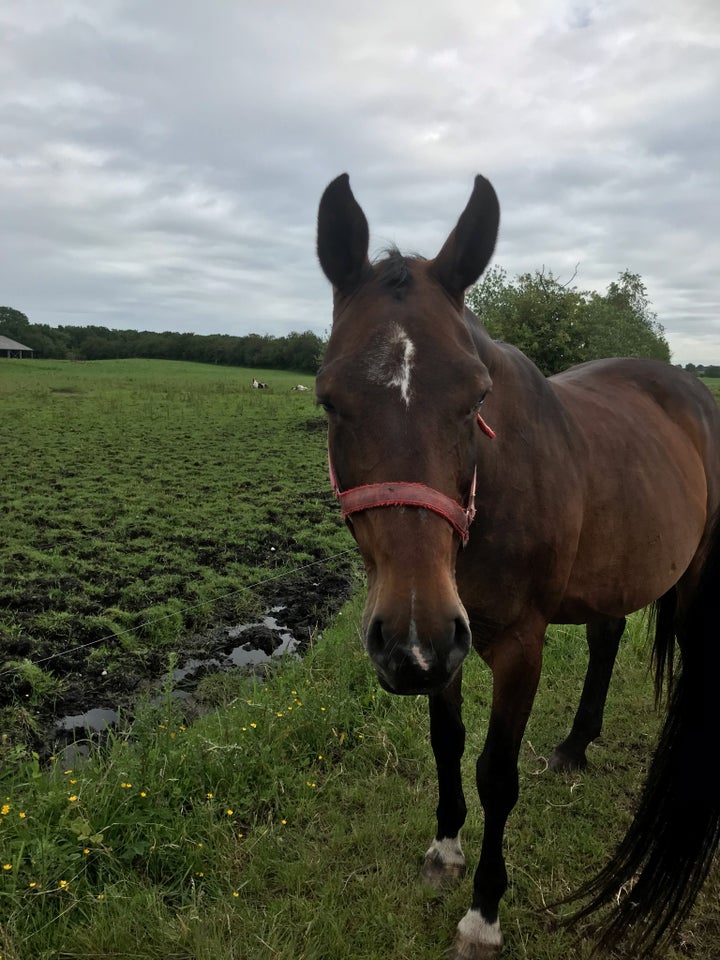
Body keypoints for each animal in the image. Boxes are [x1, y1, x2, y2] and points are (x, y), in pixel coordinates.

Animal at [318, 174, 720, 960]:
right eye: (327, 400)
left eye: (477, 397)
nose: (407, 640)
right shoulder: (447, 642)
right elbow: (447, 743)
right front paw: (445, 850)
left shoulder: (515, 648)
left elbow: (495, 774)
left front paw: (484, 914)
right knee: (605, 638)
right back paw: (574, 745)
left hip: (688, 584)